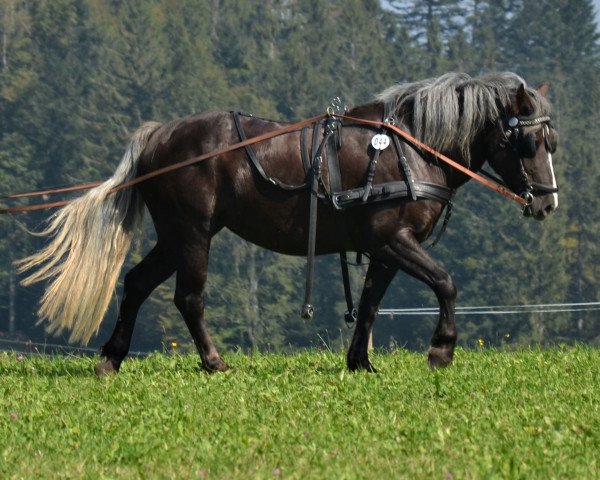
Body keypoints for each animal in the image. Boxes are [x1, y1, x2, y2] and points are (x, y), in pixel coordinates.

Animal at [17, 70, 556, 376]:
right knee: (188, 298)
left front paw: (360, 363)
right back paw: (214, 363)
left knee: (135, 284)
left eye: (552, 142)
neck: (411, 149)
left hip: (175, 236)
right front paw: (441, 350)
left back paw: (111, 358)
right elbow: (445, 283)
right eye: (529, 142)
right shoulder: (392, 238)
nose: (547, 204)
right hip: (192, 233)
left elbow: (370, 304)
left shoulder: (386, 247)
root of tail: (158, 136)